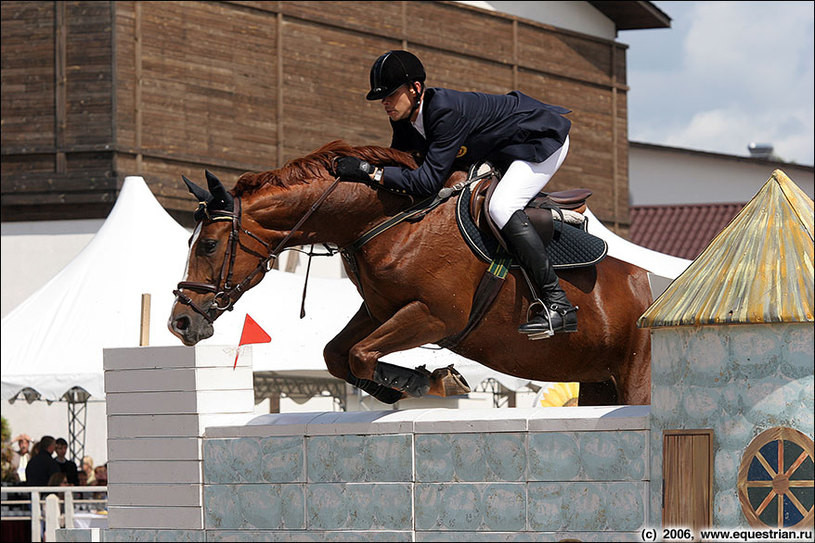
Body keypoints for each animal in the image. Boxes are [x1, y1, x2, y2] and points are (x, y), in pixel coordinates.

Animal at [169, 140, 652, 404]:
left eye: (208, 244)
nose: (180, 322)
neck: (388, 222)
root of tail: (650, 288)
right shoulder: (381, 312)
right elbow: (338, 354)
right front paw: (416, 386)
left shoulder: (436, 317)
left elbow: (361, 355)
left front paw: (434, 383)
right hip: (597, 382)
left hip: (636, 374)